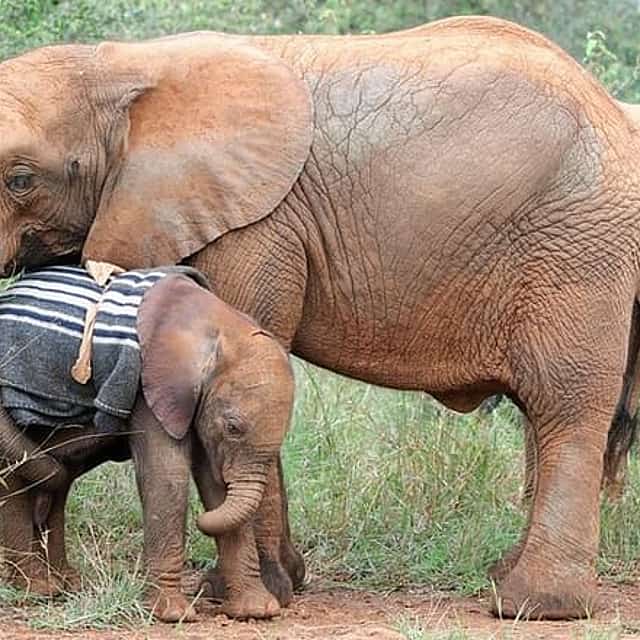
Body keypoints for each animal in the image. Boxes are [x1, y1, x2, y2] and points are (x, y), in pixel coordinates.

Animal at [0, 267, 294, 621]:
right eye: (233, 427)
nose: (201, 524)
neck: (218, 324)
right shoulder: (150, 385)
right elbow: (166, 475)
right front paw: (173, 615)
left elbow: (214, 484)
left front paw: (257, 611)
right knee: (21, 478)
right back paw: (38, 590)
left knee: (53, 483)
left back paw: (61, 584)